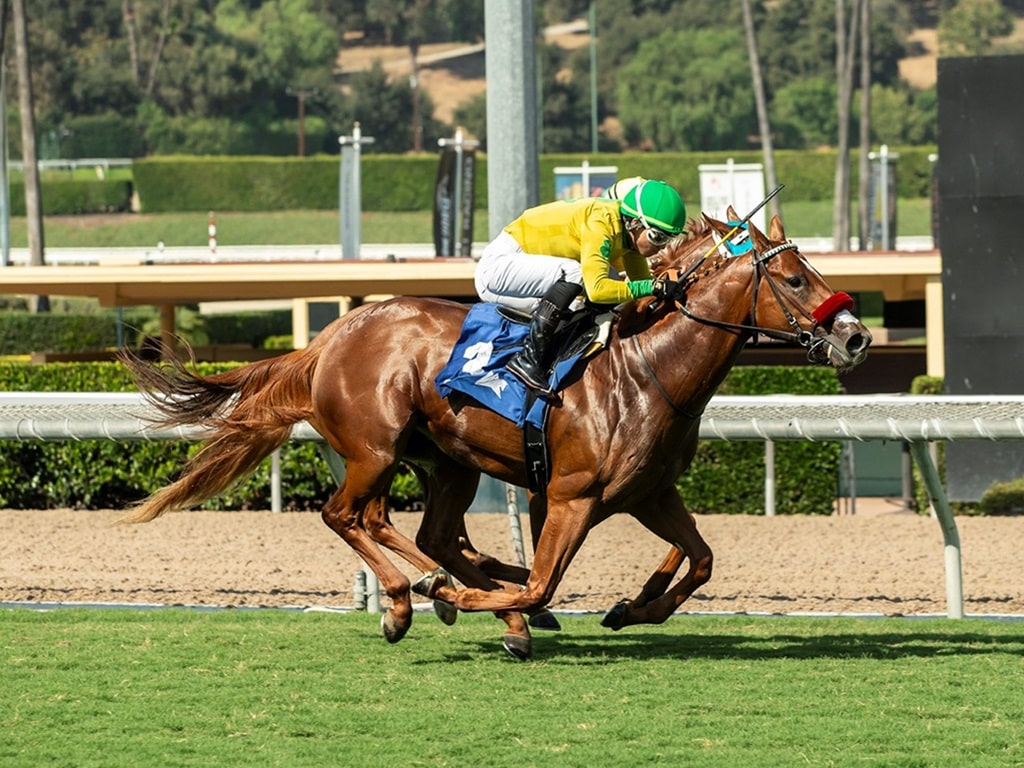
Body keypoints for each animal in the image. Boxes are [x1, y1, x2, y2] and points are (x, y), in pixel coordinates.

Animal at [119, 211, 872, 663]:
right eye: (795, 278)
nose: (856, 336)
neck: (647, 370)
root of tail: (331, 335)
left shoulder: (650, 493)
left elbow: (703, 559)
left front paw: (630, 607)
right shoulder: (568, 496)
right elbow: (541, 582)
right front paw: (476, 603)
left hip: (448, 462)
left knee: (425, 533)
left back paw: (445, 591)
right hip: (374, 448)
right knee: (348, 516)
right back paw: (413, 600)